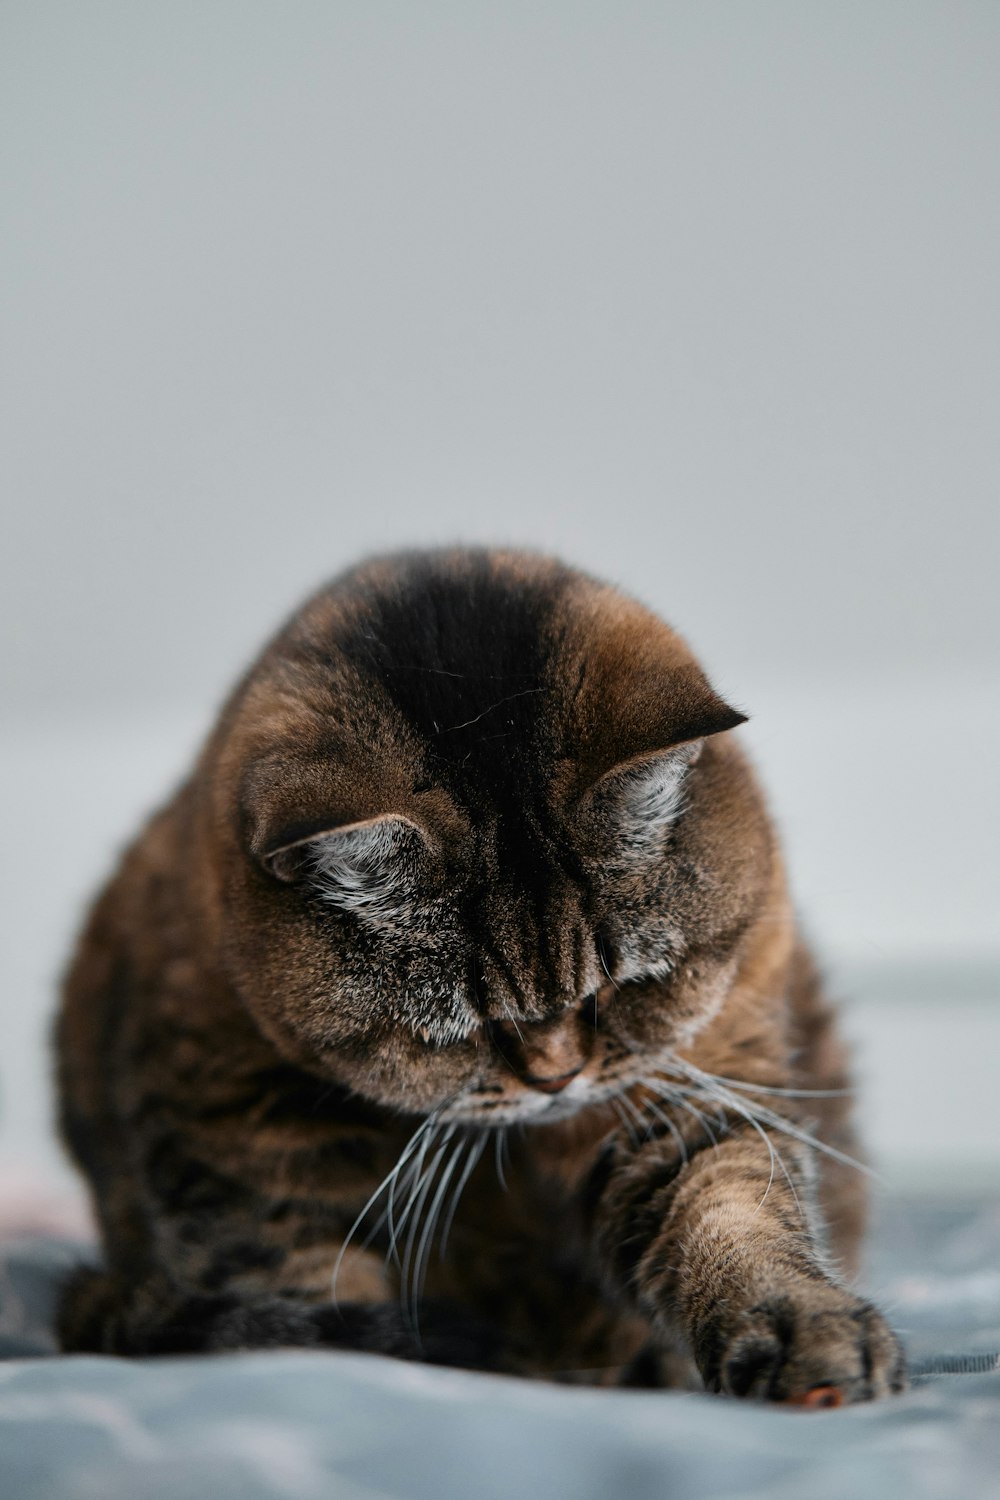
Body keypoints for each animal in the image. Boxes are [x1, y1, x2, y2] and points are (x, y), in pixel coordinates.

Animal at [58, 552, 911, 1404]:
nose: (557, 1078)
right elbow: (300, 1286)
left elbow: (732, 1211)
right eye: (457, 1028)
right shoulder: (236, 1129)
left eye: (623, 987)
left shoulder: (683, 1088)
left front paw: (805, 1331)